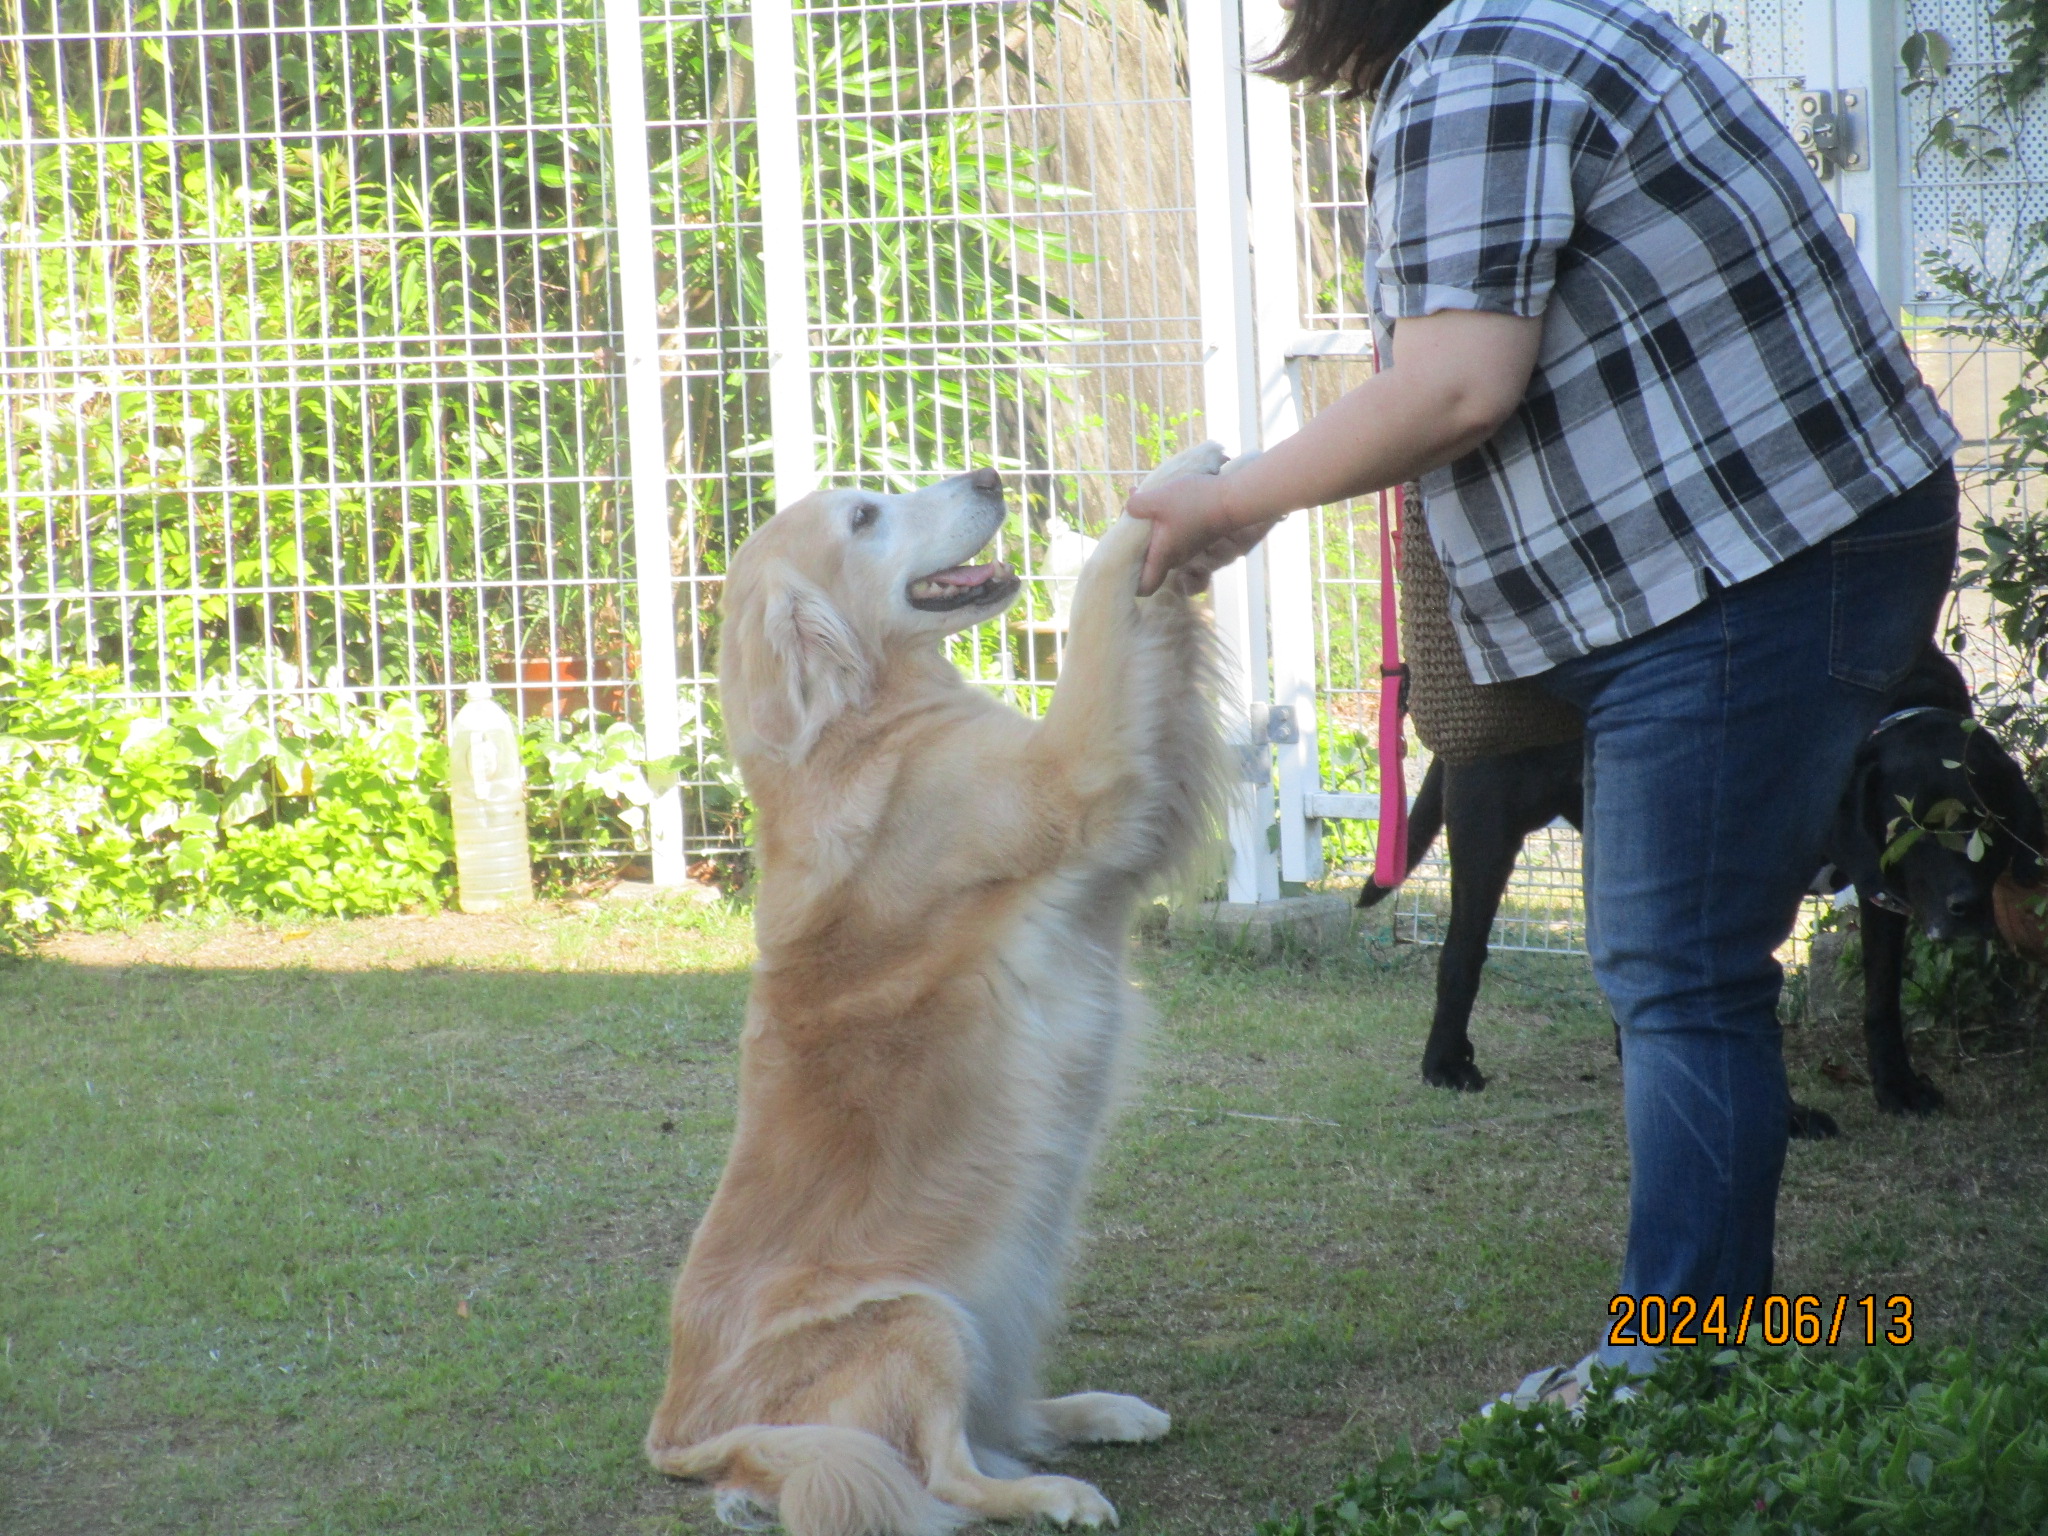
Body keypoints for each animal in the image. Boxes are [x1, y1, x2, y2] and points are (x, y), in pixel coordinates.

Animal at [1359, 643, 2048, 1122]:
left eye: (1986, 822)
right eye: (1908, 826)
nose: (1965, 909)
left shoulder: (1881, 889)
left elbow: (1882, 997)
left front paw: (1897, 1087)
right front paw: (1784, 1116)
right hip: (1489, 830)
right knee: (1462, 954)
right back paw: (1445, 1064)